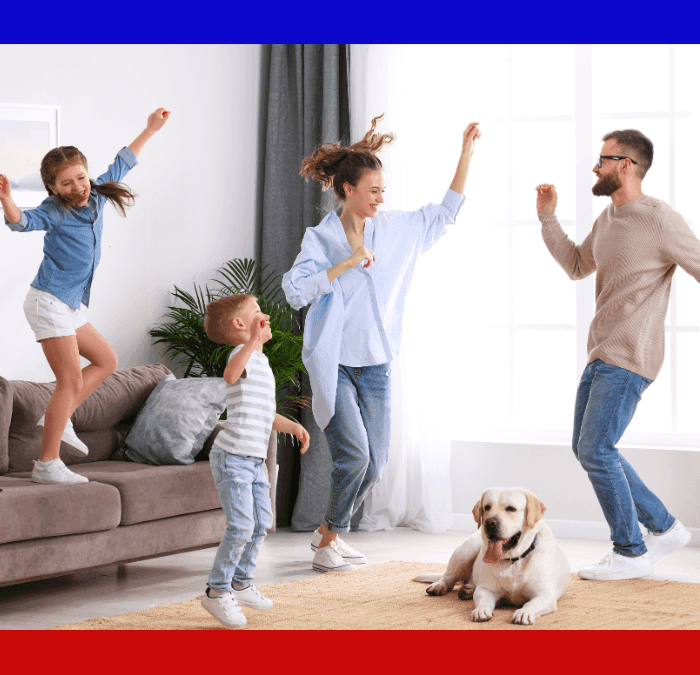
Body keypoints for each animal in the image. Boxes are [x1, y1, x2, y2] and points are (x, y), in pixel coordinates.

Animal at [416, 488, 568, 624]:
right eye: (486, 507)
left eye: (511, 509)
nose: (489, 523)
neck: (512, 561)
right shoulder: (486, 589)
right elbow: (483, 600)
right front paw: (481, 611)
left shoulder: (545, 594)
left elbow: (531, 604)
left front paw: (523, 612)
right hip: (465, 550)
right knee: (448, 577)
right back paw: (440, 586)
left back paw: (467, 590)